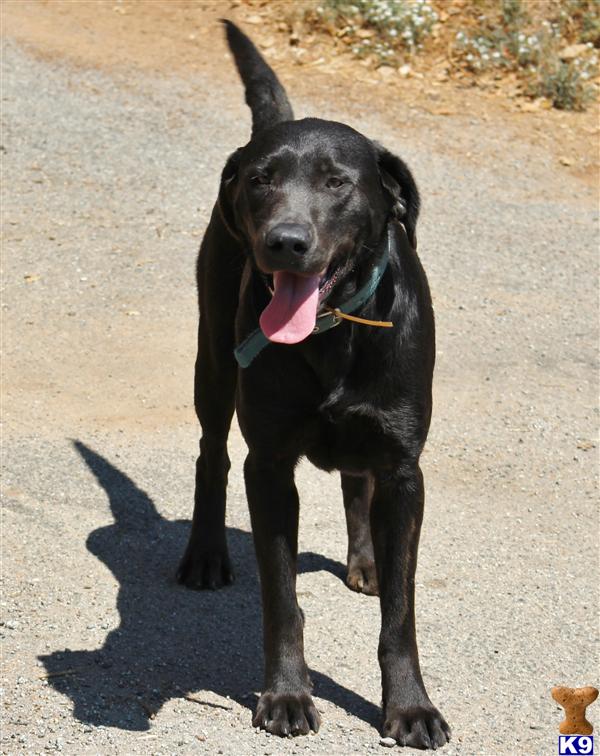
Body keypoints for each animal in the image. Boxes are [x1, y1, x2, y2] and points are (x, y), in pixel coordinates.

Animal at [178, 20, 450, 748]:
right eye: (261, 180)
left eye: (336, 183)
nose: (285, 241)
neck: (331, 333)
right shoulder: (270, 465)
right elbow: (282, 600)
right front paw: (285, 694)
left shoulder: (405, 470)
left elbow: (401, 616)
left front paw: (410, 706)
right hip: (213, 361)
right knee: (211, 455)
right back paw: (205, 555)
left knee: (358, 481)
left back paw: (366, 559)